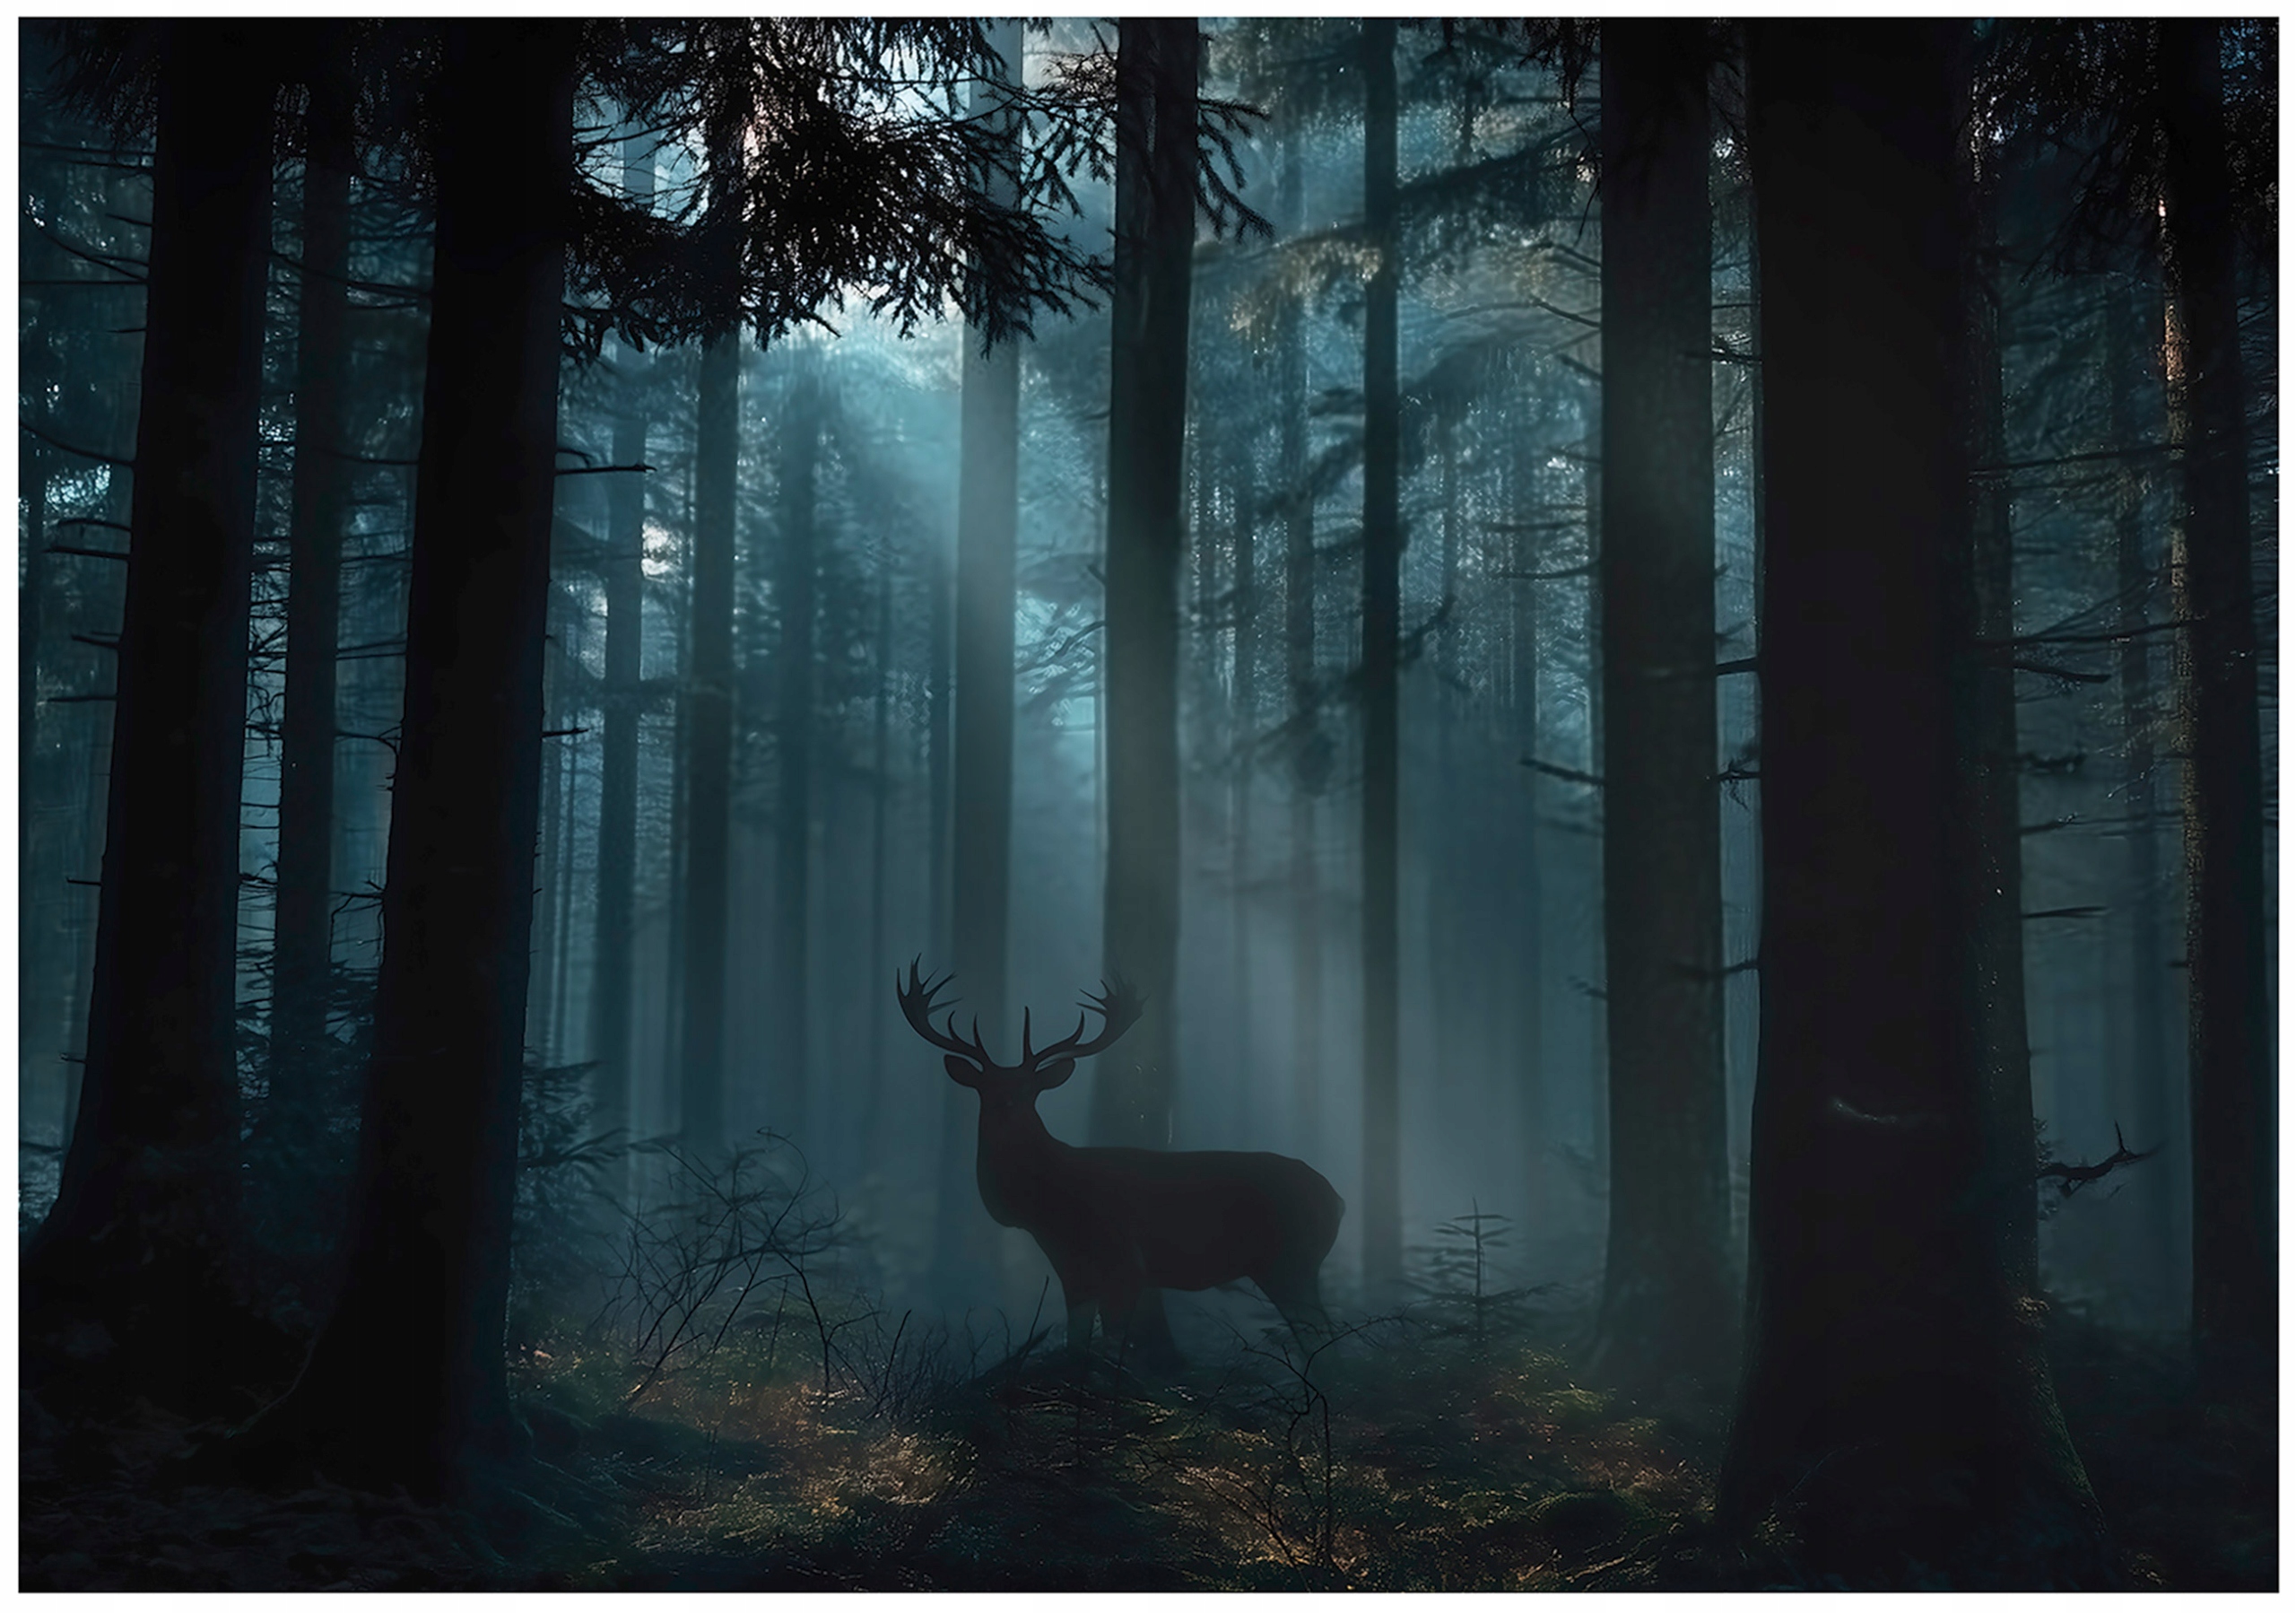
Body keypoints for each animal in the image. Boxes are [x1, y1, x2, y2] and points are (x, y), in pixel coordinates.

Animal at [898, 960, 1344, 1360]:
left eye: (1030, 1089)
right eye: (985, 1086)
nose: (1006, 1104)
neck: (1049, 1203)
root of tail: (1337, 1200)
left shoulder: (1126, 1262)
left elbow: (1111, 1351)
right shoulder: (1073, 1272)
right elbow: (1076, 1347)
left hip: (1291, 1262)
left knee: (1325, 1340)